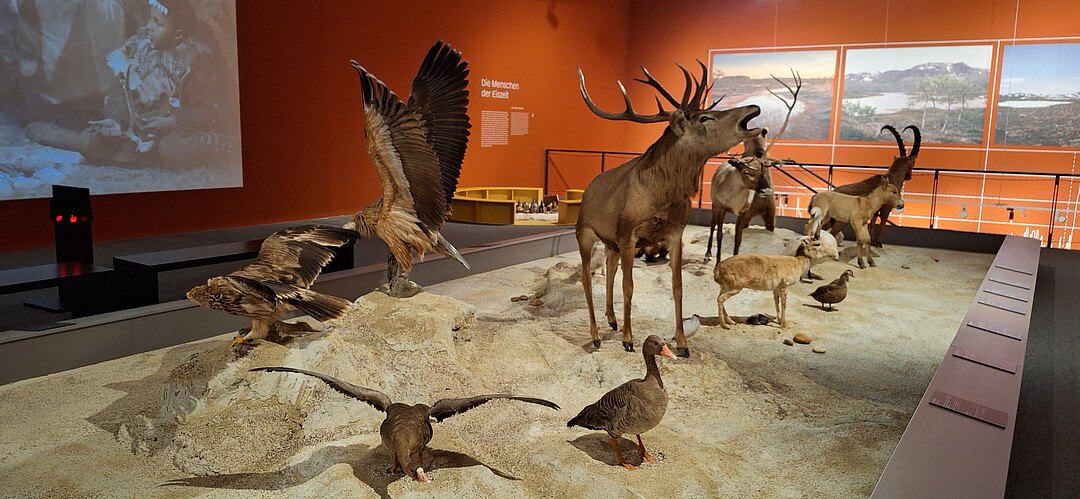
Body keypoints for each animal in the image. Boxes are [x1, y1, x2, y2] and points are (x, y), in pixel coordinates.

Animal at [575, 62, 770, 356]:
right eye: (704, 118)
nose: (753, 107)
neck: (662, 198)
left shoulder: (674, 234)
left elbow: (677, 288)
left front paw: (682, 343)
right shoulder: (628, 234)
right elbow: (629, 287)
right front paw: (628, 339)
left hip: (611, 244)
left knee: (609, 272)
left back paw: (612, 320)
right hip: (585, 234)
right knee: (587, 279)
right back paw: (597, 334)